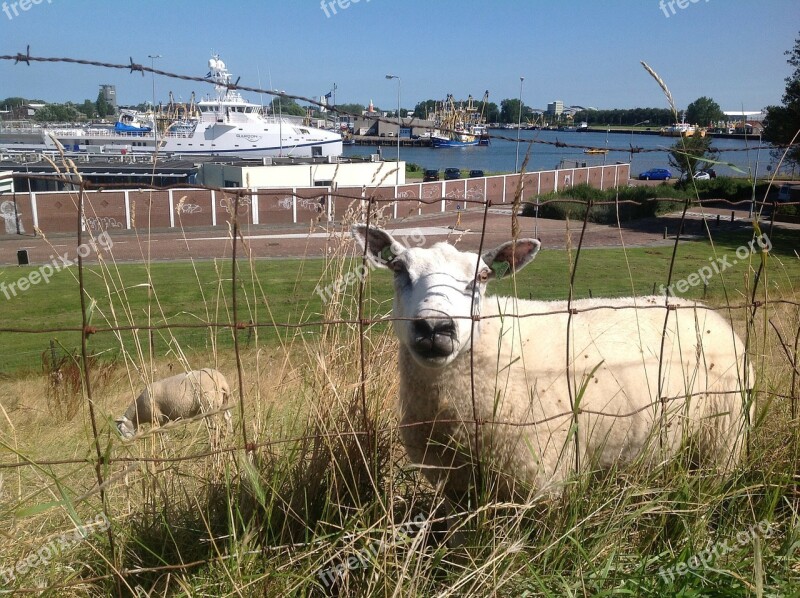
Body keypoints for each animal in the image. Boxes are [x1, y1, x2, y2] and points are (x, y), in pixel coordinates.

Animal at [354, 227, 752, 504]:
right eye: (398, 268)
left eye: (482, 277)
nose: (435, 328)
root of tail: (706, 311)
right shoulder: (455, 486)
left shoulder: (545, 480)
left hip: (723, 441)